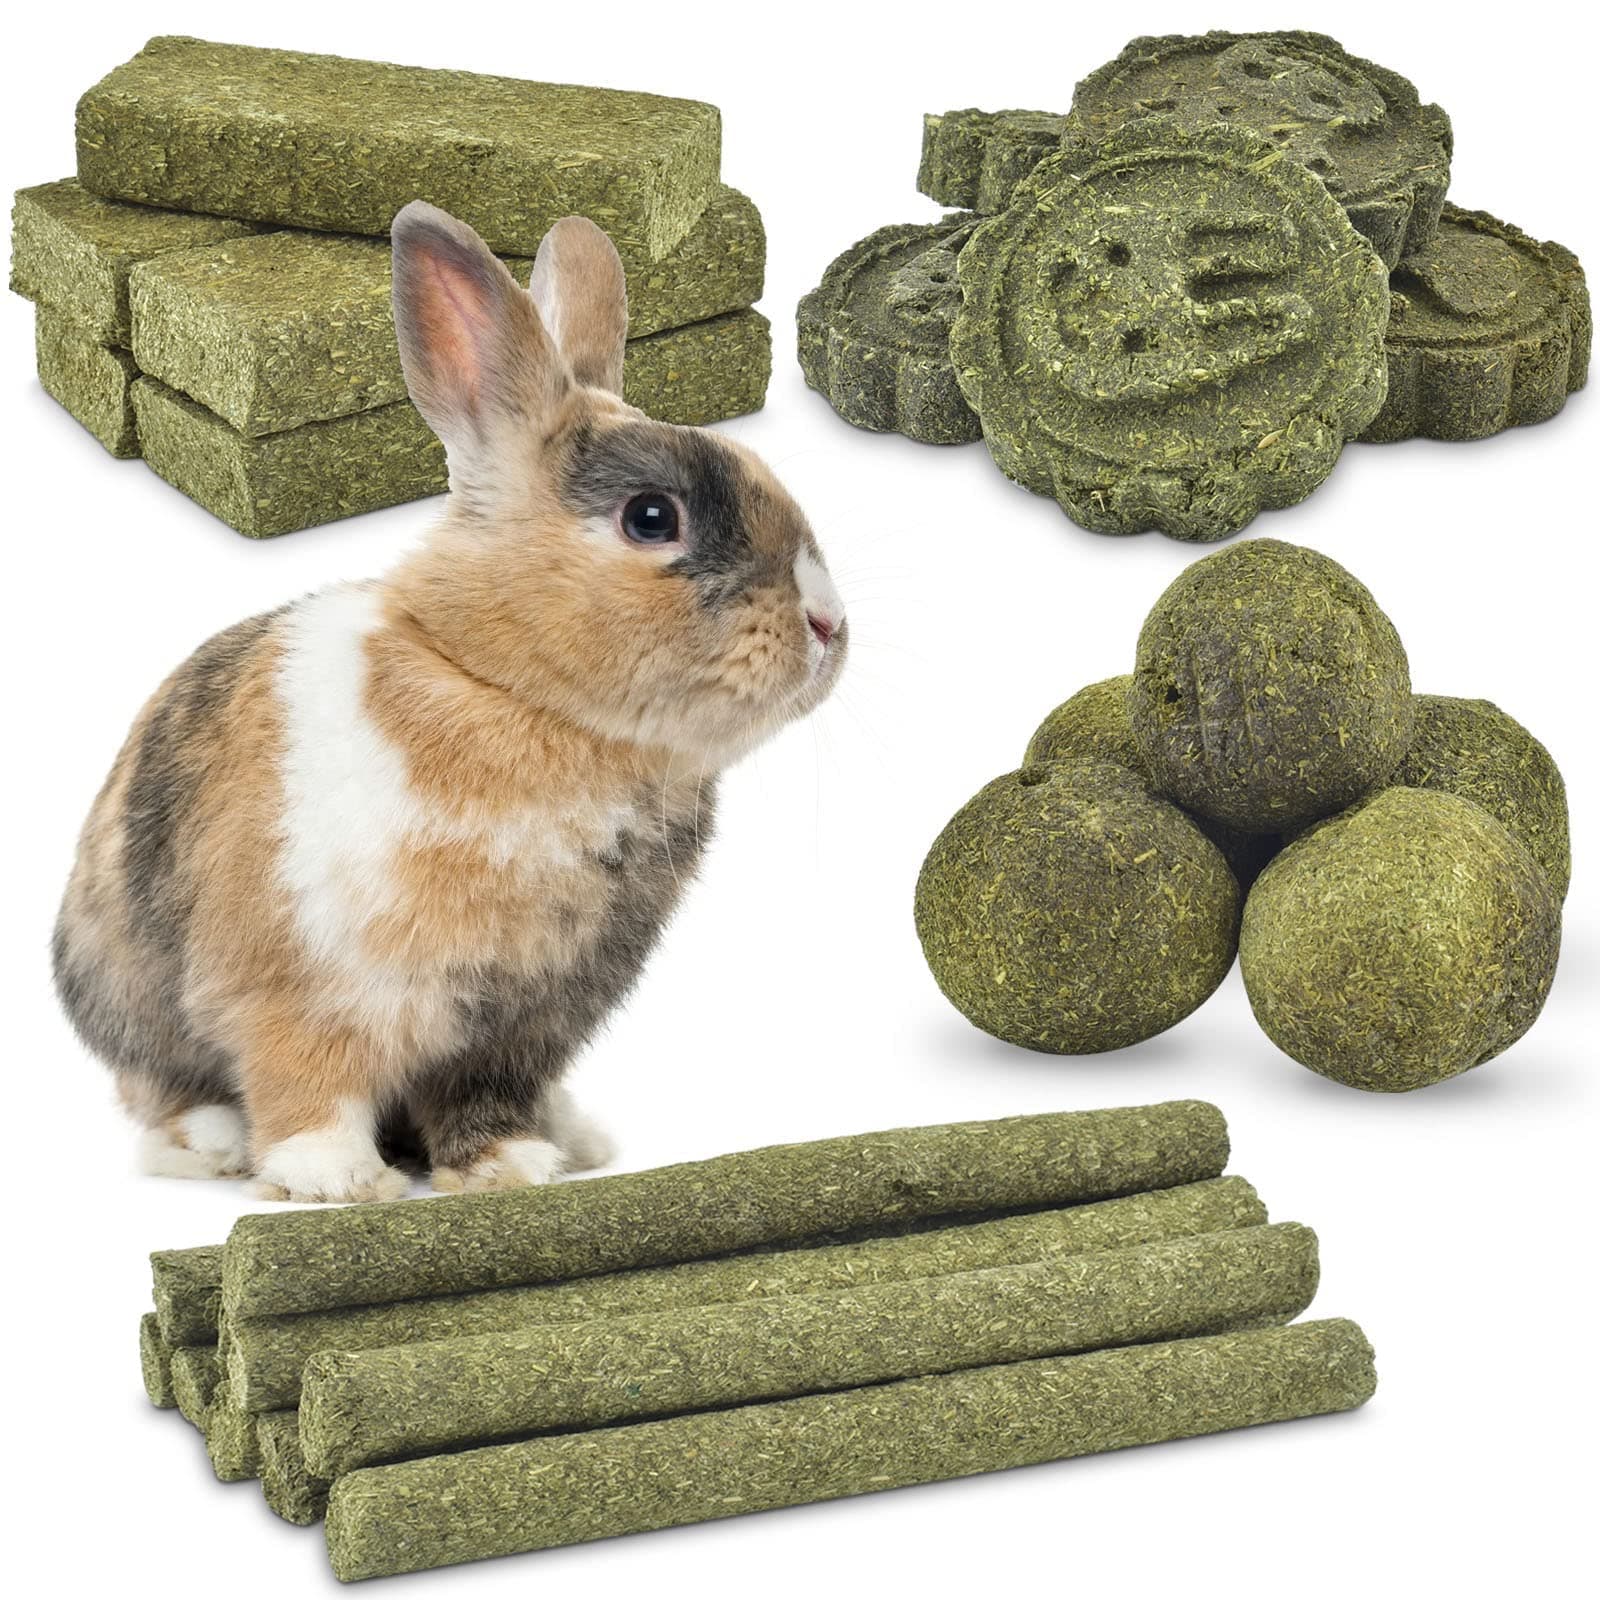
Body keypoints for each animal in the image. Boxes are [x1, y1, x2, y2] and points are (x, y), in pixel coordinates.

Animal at [52, 201, 847, 1203]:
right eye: (651, 517)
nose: (828, 625)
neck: (506, 692)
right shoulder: (290, 988)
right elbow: (305, 1080)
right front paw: (331, 1181)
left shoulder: (521, 1024)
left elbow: (481, 1097)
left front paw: (510, 1167)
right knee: (163, 1089)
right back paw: (216, 1144)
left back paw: (575, 1136)